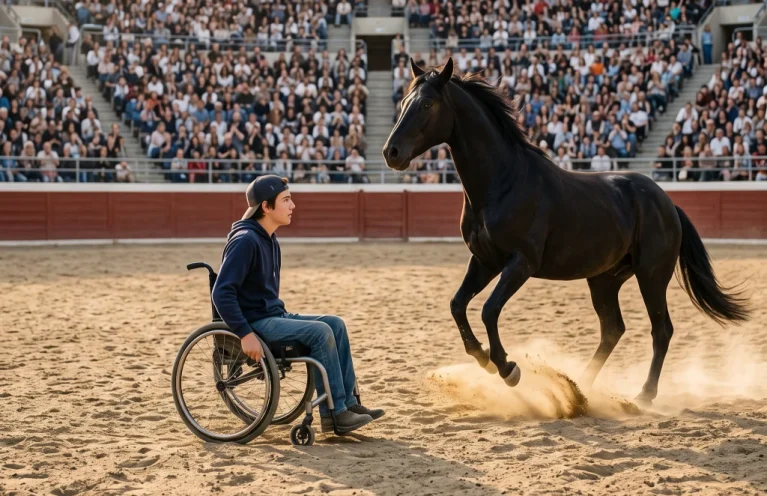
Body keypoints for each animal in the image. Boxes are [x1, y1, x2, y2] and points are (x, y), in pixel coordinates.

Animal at [382, 57, 750, 404]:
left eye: (427, 104)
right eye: (405, 101)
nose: (391, 152)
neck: (502, 183)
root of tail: (667, 203)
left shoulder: (521, 263)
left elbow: (488, 310)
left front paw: (508, 368)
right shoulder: (485, 261)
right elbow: (457, 305)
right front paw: (484, 359)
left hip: (651, 275)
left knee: (661, 330)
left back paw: (643, 394)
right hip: (604, 279)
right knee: (613, 330)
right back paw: (580, 385)